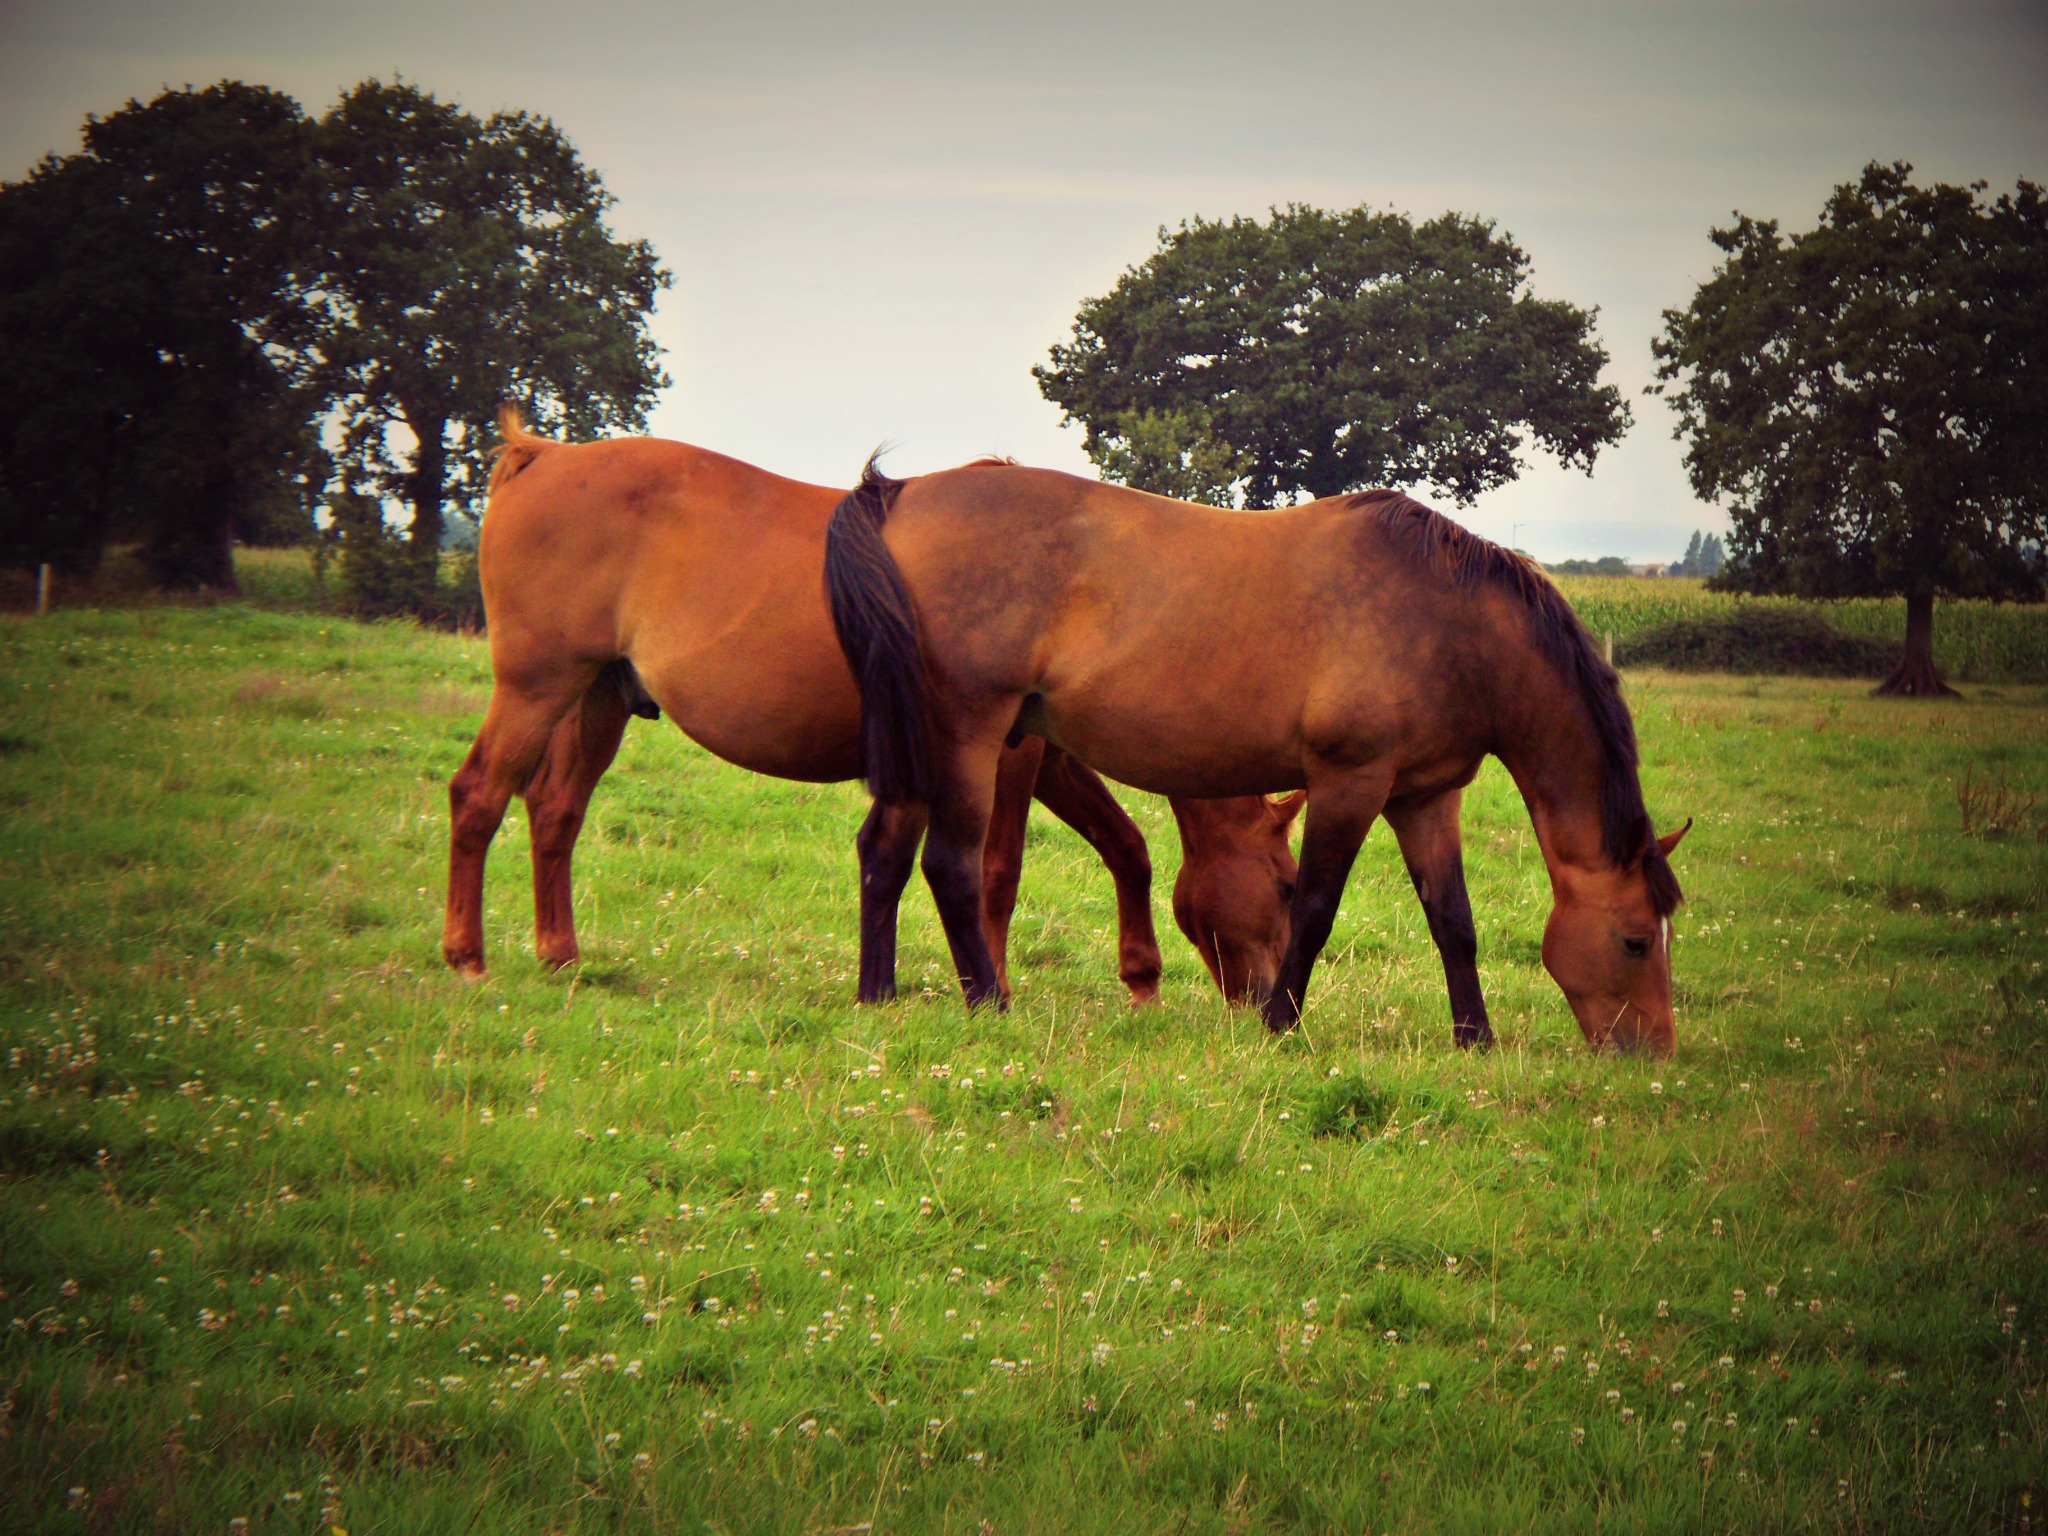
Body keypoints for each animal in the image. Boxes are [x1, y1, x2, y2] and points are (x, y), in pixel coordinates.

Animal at [444, 415, 1294, 1003]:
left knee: (556, 810)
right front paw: (999, 980)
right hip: (535, 688)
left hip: (597, 699)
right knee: (479, 795)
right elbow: (999, 869)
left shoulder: (1039, 756)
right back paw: (466, 957)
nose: (1267, 997)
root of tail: (543, 456)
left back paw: (560, 954)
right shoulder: (1011, 755)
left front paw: (1140, 977)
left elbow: (1126, 847)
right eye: (1287, 885)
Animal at [823, 462, 1687, 1056]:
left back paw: (878, 995)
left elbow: (1453, 921)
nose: (1651, 1053)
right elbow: (1316, 909)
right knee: (951, 866)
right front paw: (1279, 1025)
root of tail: (898, 494)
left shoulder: (1425, 796)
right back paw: (987, 1006)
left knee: (886, 853)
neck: (1447, 619)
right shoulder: (1350, 782)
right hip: (969, 734)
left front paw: (1474, 1038)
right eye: (1636, 940)